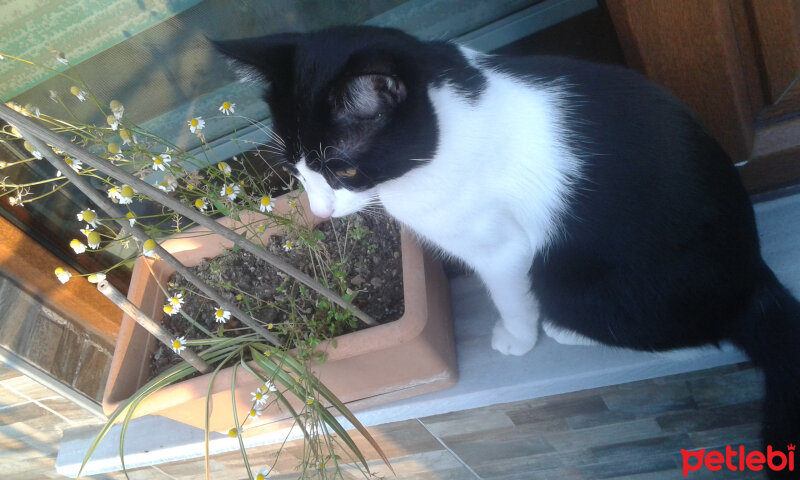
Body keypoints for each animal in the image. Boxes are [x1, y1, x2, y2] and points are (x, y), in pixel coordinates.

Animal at [214, 25, 800, 458]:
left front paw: (518, 339)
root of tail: (754, 277)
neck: (449, 125)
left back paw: (567, 330)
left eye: (343, 169)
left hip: (577, 279)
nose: (318, 209)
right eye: (295, 168)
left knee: (702, 338)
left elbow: (509, 293)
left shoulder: (502, 248)